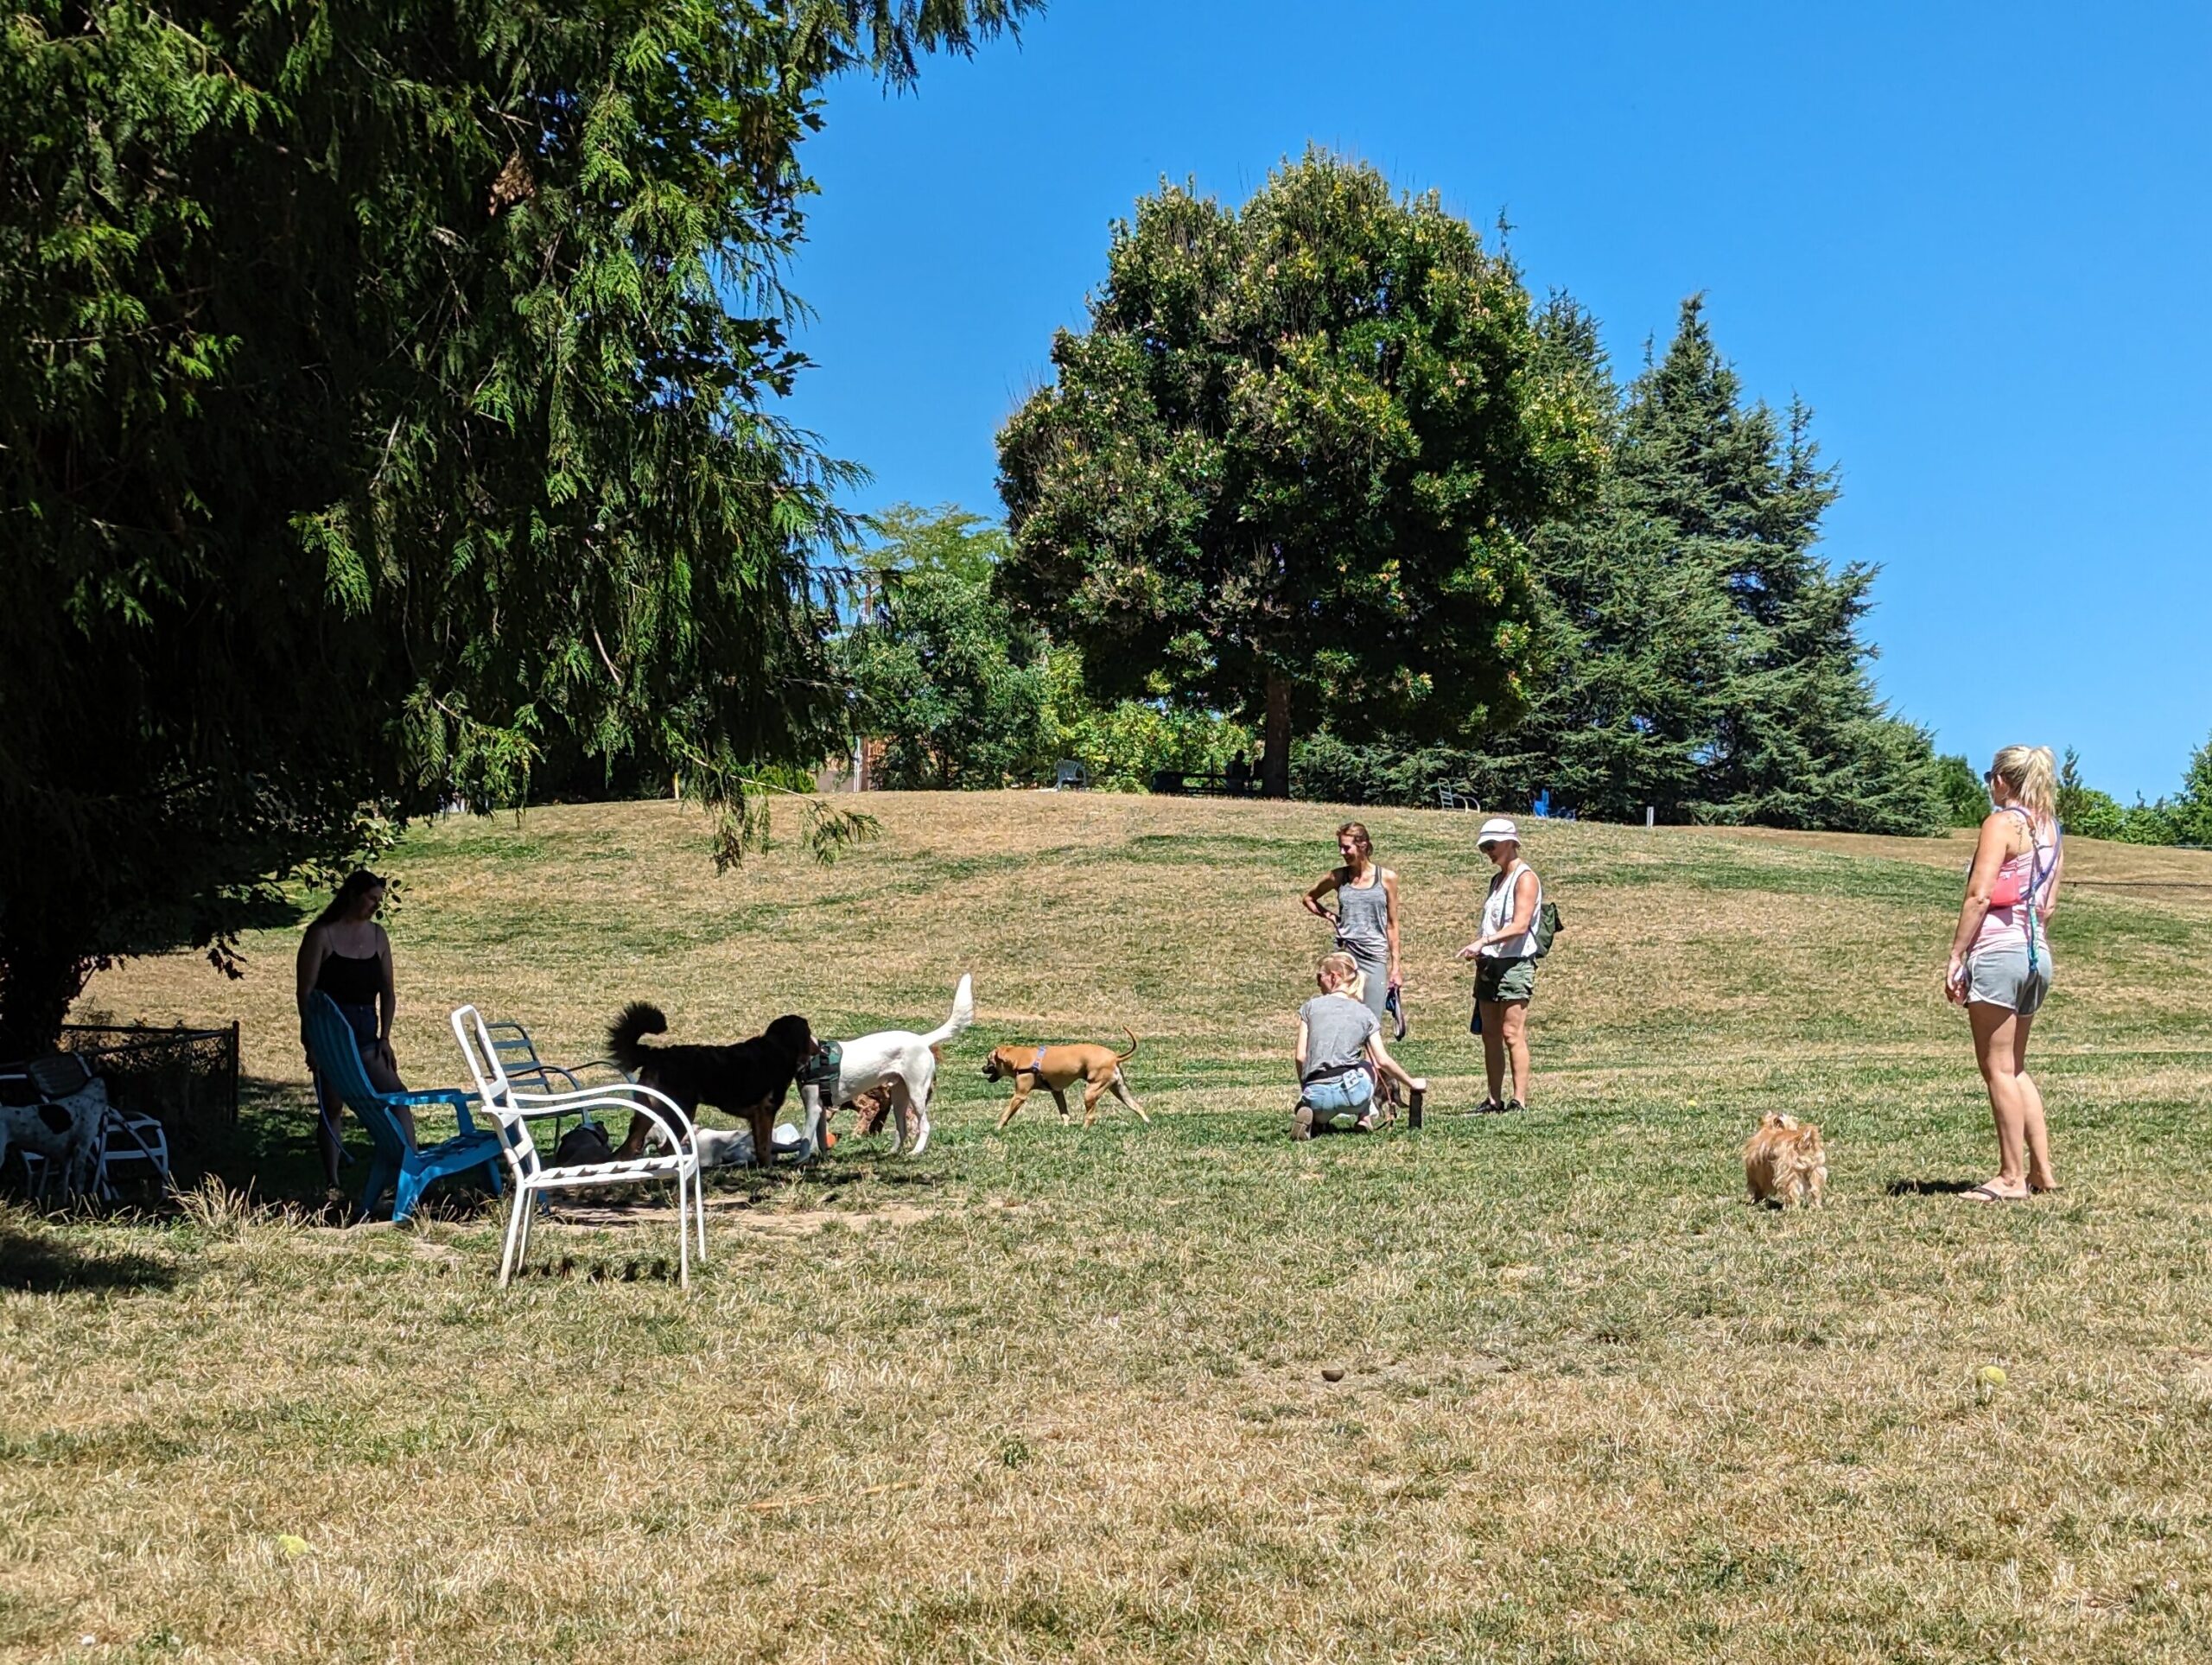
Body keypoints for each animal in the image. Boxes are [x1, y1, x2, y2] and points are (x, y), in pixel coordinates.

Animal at [796, 973, 969, 1158]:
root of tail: (922, 1040)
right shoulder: (820, 1109)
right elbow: (819, 1139)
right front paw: (823, 1159)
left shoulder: (813, 1107)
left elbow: (806, 1139)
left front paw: (801, 1160)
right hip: (900, 1098)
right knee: (902, 1129)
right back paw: (891, 1153)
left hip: (916, 1094)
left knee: (923, 1126)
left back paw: (915, 1151)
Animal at [990, 1026, 1159, 1132]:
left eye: (989, 1061)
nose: (984, 1069)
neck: (1020, 1058)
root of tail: (1115, 1057)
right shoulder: (1057, 1092)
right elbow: (1064, 1113)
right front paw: (1066, 1128)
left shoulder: (1020, 1095)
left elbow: (1006, 1113)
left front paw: (998, 1127)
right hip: (1120, 1089)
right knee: (1137, 1107)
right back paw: (1148, 1123)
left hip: (1091, 1091)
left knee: (1091, 1116)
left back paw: (1083, 1130)